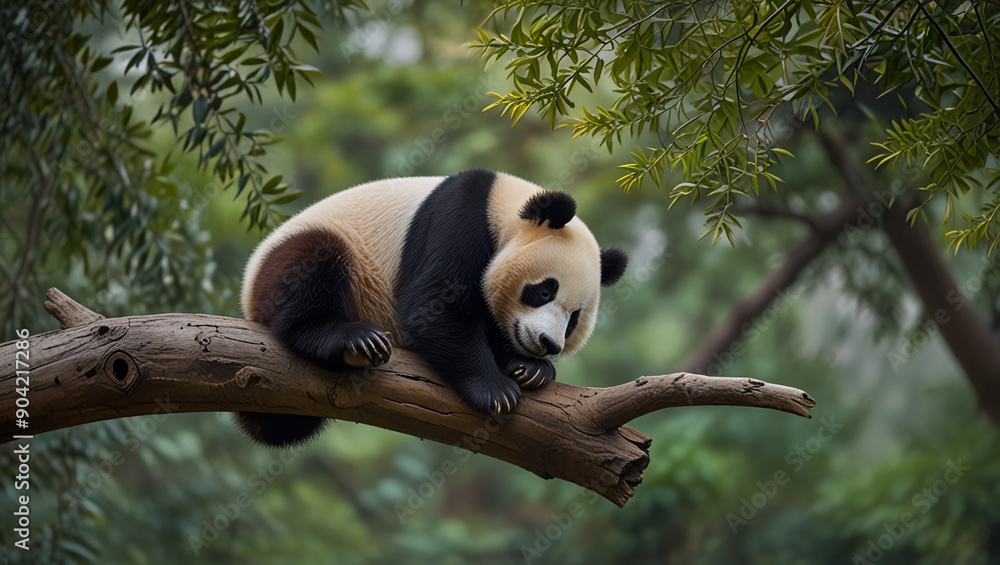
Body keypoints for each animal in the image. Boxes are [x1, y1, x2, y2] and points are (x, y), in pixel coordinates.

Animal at [237, 169, 628, 446]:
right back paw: (353, 340)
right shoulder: (457, 218)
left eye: (574, 318)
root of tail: (249, 297)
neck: (503, 209)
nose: (548, 343)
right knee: (315, 268)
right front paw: (495, 391)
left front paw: (530, 368)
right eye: (545, 291)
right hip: (312, 258)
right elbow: (433, 303)